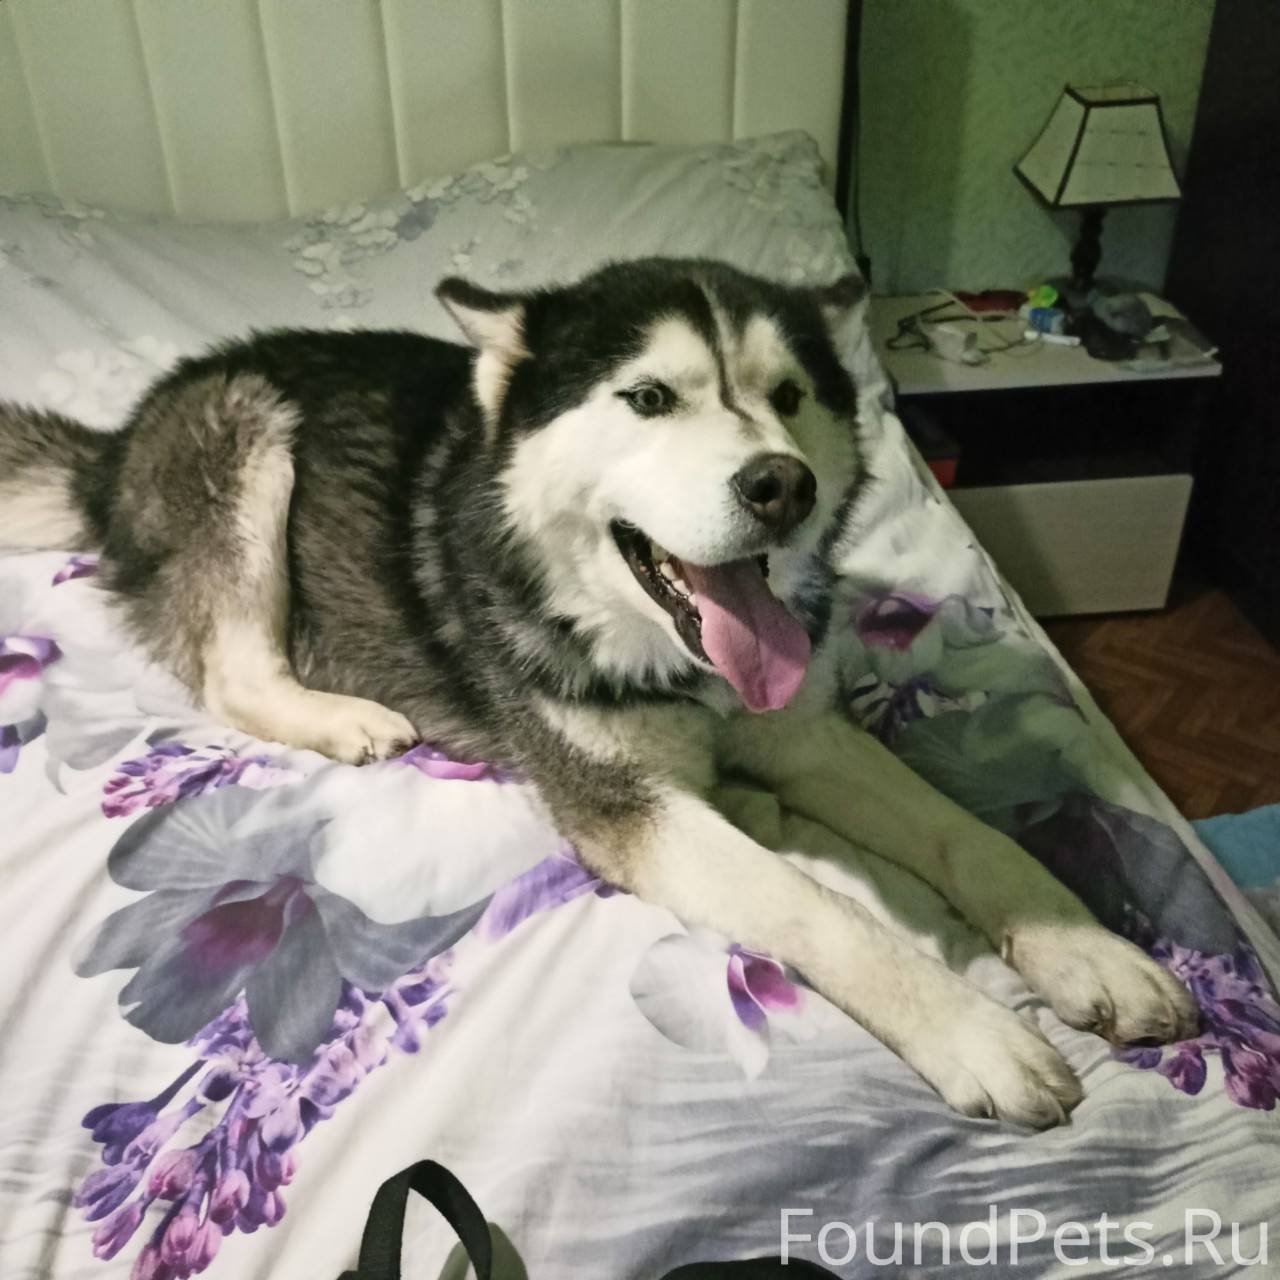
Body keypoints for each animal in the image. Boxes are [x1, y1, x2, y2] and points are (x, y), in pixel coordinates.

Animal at [0, 258, 1197, 1126]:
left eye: (789, 397)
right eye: (650, 399)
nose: (783, 484)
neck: (671, 657)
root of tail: (117, 443)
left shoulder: (805, 735)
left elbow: (964, 832)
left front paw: (1086, 946)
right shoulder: (629, 809)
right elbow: (815, 905)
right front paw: (971, 1029)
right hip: (247, 438)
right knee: (233, 667)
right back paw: (342, 718)